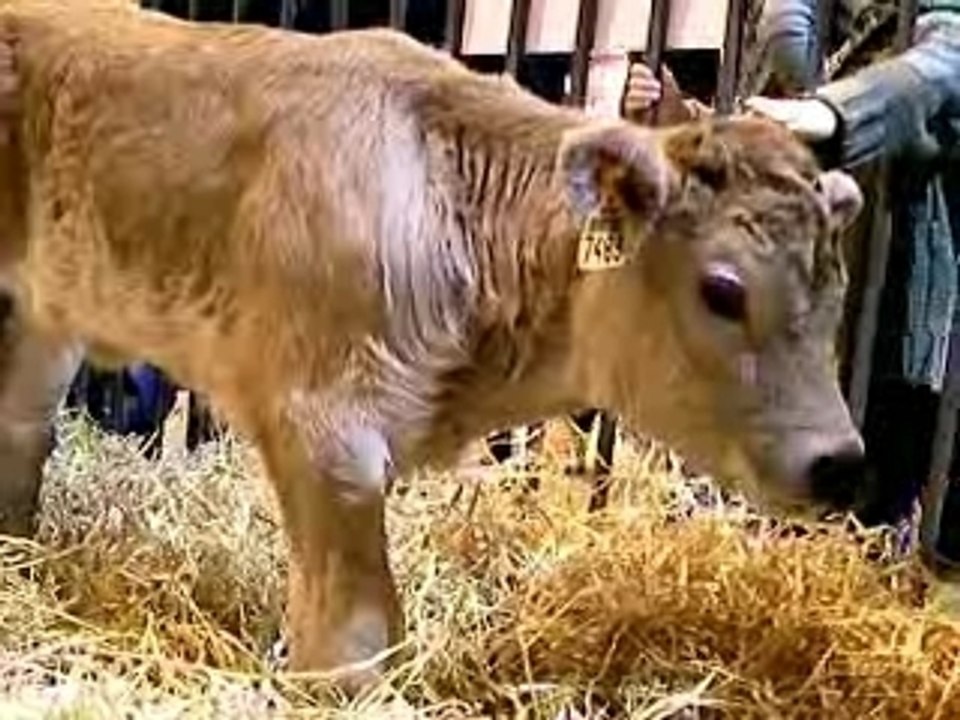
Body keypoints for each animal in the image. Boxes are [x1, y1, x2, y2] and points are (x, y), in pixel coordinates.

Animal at [0, 0, 865, 689]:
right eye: (723, 289)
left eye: (837, 293)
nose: (842, 463)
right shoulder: (325, 431)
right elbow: (353, 640)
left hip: (45, 315)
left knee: (20, 430)